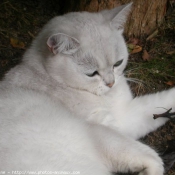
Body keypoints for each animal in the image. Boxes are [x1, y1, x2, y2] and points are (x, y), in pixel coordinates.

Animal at [0, 3, 175, 175]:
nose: (111, 83)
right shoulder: (106, 127)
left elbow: (156, 104)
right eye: (91, 73)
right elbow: (149, 156)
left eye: (118, 63)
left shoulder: (125, 115)